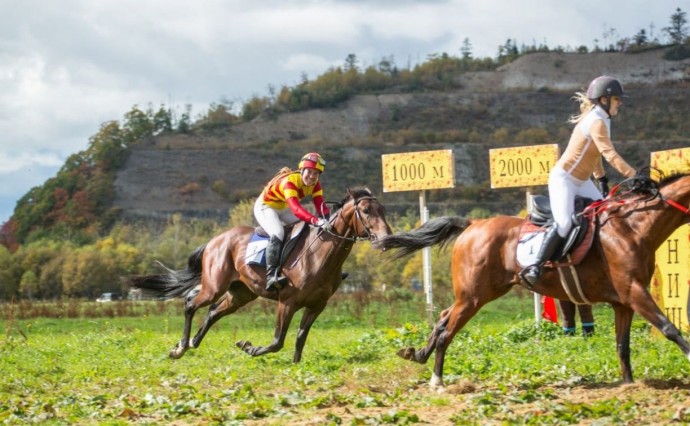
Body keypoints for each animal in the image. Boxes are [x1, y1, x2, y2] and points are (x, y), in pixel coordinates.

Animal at [127, 188, 388, 362]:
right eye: (366, 210)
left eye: (383, 210)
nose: (386, 237)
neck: (319, 255)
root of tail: (214, 240)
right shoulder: (288, 302)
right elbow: (277, 341)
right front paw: (249, 347)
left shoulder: (317, 305)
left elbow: (300, 339)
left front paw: (295, 366)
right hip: (214, 286)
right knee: (191, 303)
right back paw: (180, 347)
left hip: (241, 293)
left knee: (212, 312)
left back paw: (192, 342)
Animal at [374, 174, 688, 390]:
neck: (633, 227)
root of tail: (474, 224)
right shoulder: (635, 292)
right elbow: (669, 328)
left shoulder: (623, 302)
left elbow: (623, 346)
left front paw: (629, 385)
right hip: (474, 297)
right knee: (447, 331)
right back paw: (437, 380)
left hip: (481, 293)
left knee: (442, 317)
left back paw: (418, 354)